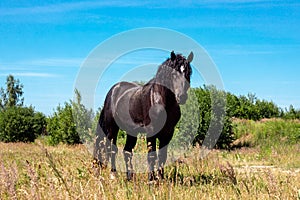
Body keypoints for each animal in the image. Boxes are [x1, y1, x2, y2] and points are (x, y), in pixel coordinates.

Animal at [92, 50, 193, 181]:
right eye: (173, 74)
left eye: (188, 73)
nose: (182, 96)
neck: (161, 100)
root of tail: (113, 91)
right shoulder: (151, 132)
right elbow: (152, 156)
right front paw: (151, 179)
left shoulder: (168, 133)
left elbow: (162, 156)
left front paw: (161, 178)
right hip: (112, 128)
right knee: (111, 149)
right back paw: (113, 175)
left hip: (131, 131)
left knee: (127, 151)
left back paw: (130, 177)